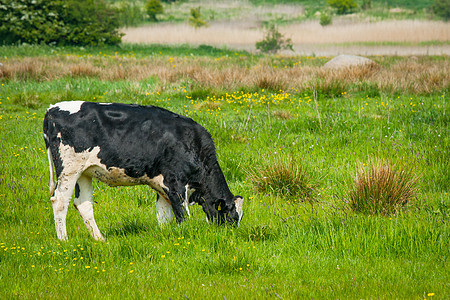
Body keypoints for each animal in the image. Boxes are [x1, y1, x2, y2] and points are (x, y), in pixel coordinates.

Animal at [44, 101, 244, 241]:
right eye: (232, 218)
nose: (230, 237)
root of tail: (52, 109)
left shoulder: (162, 186)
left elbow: (163, 215)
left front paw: (166, 236)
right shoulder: (175, 184)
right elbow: (182, 216)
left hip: (84, 172)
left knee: (83, 204)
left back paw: (99, 238)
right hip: (69, 169)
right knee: (60, 201)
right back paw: (64, 240)